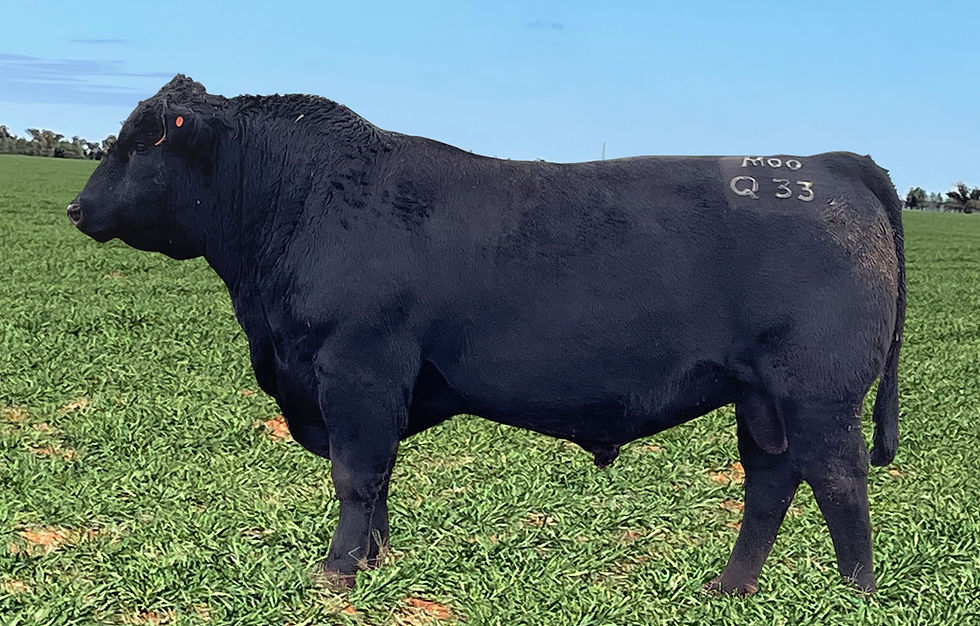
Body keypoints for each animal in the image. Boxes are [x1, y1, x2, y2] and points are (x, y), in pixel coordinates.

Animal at [68, 75, 905, 596]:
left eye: (139, 142)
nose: (76, 209)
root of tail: (828, 162)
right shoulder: (372, 389)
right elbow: (380, 476)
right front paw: (376, 561)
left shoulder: (356, 369)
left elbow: (355, 475)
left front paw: (337, 571)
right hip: (761, 398)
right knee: (770, 482)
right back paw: (729, 587)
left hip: (819, 392)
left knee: (838, 481)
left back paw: (854, 595)